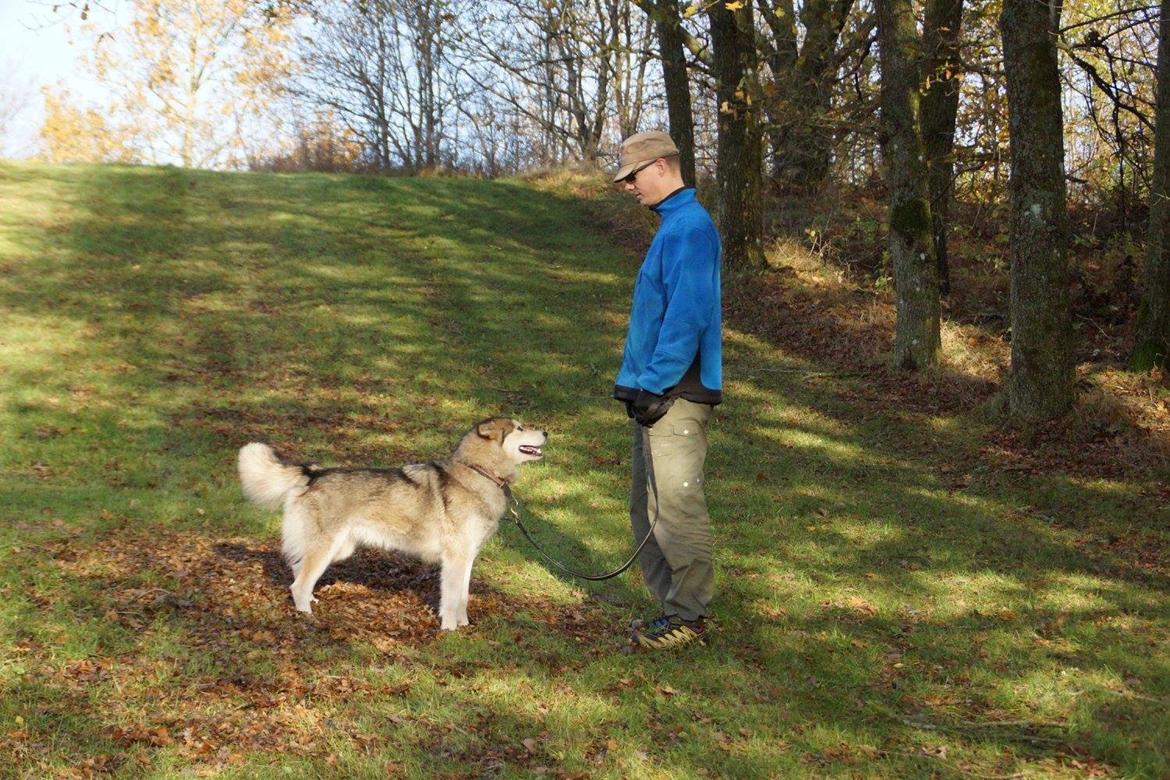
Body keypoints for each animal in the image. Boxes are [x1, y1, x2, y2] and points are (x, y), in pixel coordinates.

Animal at [241, 418, 547, 631]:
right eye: (520, 427)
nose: (546, 431)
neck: (479, 472)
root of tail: (313, 473)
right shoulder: (455, 559)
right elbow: (451, 598)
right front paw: (450, 631)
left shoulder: (468, 558)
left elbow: (463, 596)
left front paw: (464, 626)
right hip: (325, 549)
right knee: (299, 584)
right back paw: (306, 616)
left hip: (337, 550)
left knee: (297, 571)